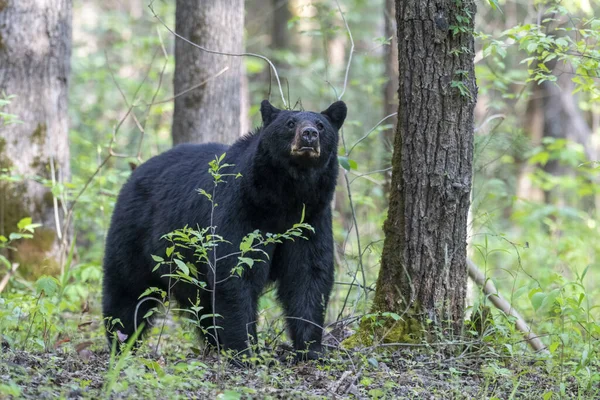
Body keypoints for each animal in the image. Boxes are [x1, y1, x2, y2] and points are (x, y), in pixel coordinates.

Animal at [103, 99, 346, 360]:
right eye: (290, 123)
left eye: (321, 125)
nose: (309, 135)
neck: (285, 197)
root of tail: (135, 173)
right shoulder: (241, 208)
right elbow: (235, 270)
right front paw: (246, 351)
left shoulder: (311, 218)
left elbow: (308, 274)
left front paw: (311, 349)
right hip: (135, 234)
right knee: (127, 290)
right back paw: (122, 343)